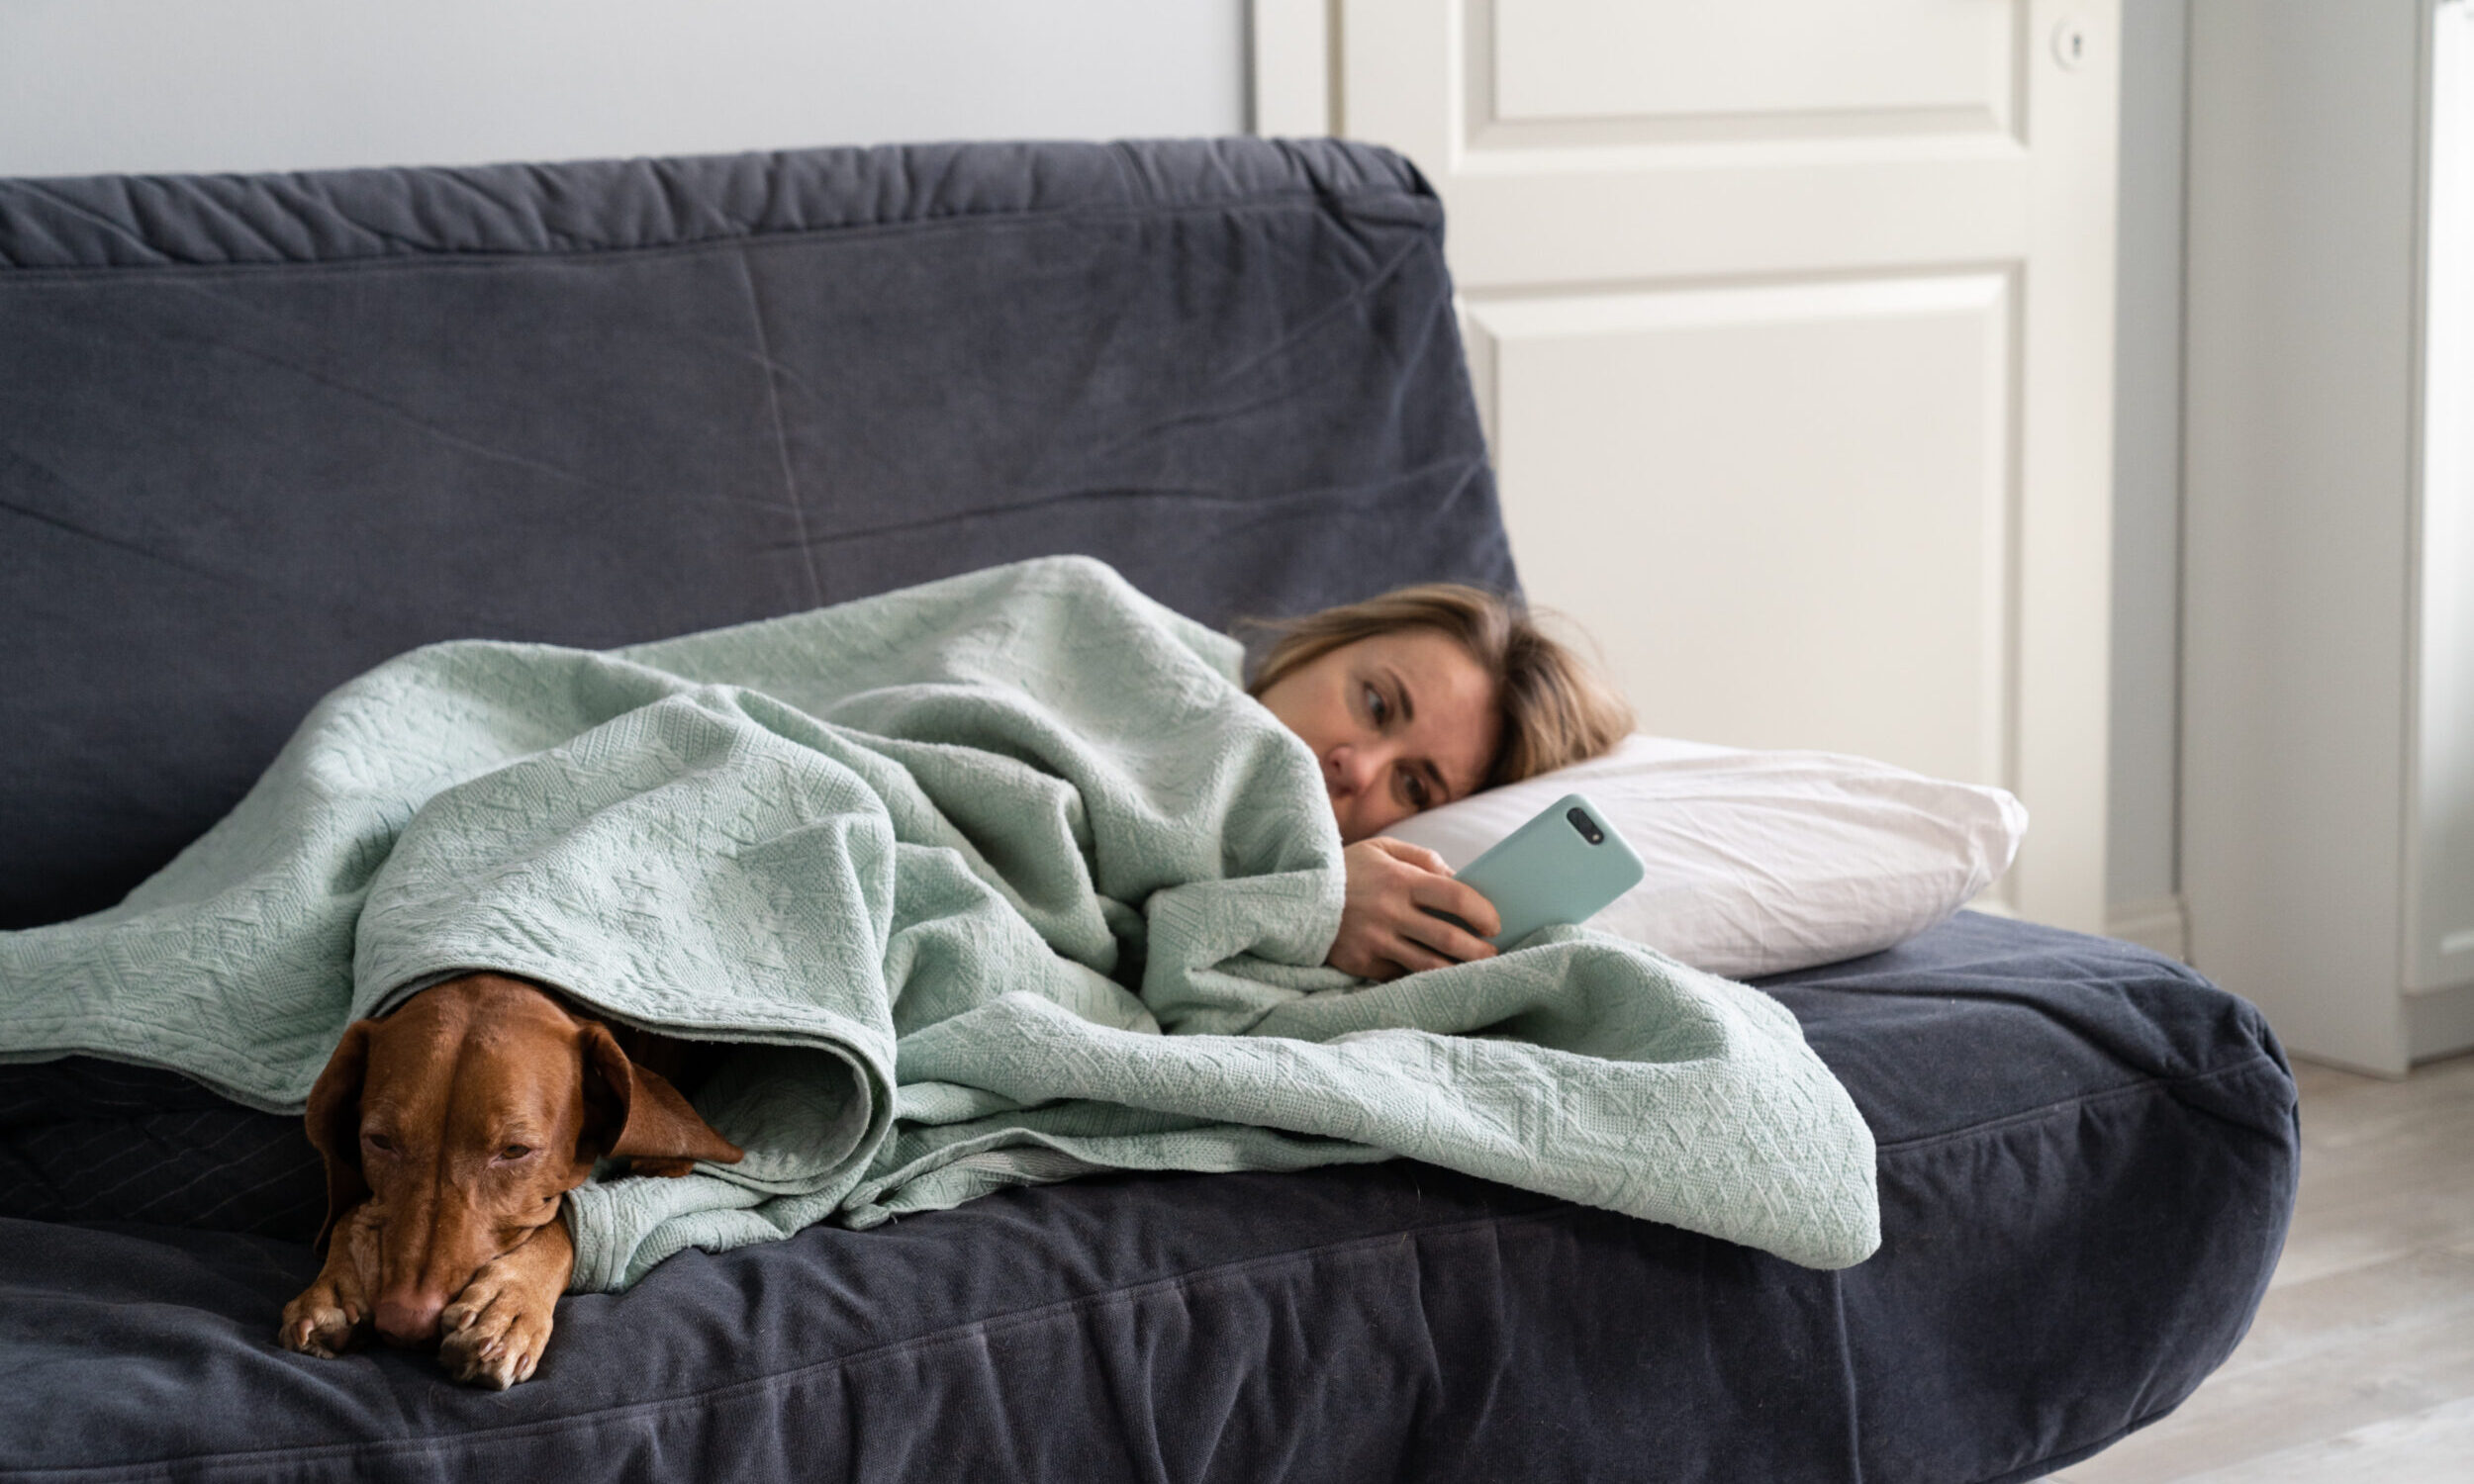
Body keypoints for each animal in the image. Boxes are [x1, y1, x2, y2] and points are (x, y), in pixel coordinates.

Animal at [276, 973, 742, 1388]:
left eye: (515, 1151)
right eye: (379, 1141)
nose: (405, 1324)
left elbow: (567, 1215)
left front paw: (509, 1305)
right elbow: (351, 1209)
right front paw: (334, 1285)